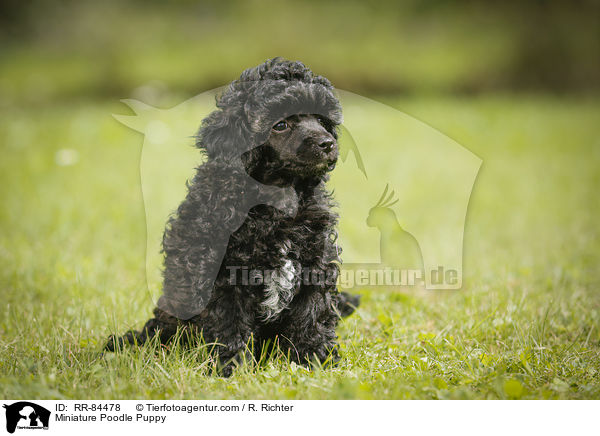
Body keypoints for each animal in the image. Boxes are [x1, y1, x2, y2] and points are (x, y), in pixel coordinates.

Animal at [107, 58, 358, 376]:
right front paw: (234, 368)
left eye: (322, 121)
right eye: (280, 125)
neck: (276, 203)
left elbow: (312, 313)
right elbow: (230, 324)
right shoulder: (223, 274)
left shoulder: (316, 263)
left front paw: (316, 360)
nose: (327, 143)